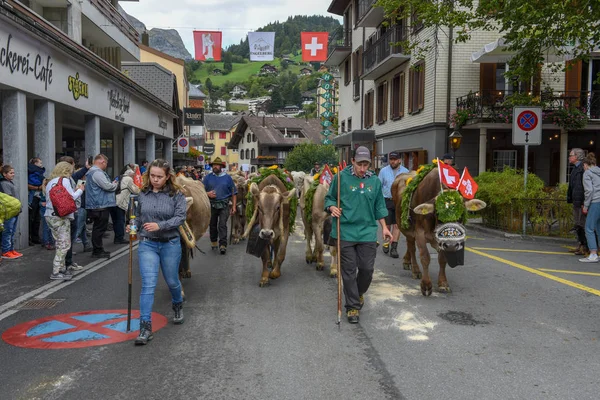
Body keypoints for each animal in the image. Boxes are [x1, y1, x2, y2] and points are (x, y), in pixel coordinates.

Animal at [394, 161, 488, 296]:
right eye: (438, 213)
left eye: (461, 214)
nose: (452, 245)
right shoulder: (419, 232)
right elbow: (425, 257)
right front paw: (426, 285)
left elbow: (442, 259)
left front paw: (443, 283)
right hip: (406, 228)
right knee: (411, 247)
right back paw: (415, 270)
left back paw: (407, 261)